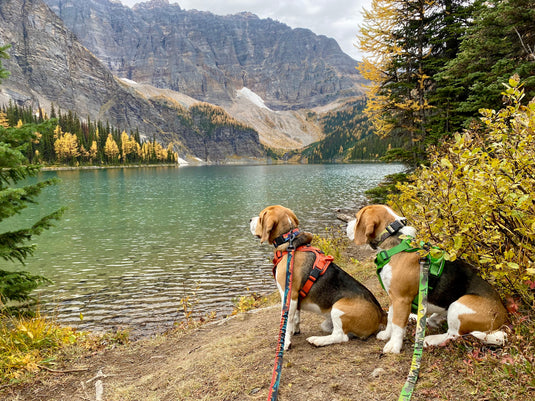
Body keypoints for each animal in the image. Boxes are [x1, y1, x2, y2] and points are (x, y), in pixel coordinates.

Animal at [251, 205, 386, 348]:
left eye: (260, 217)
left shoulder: (288, 294)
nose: (249, 220)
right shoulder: (295, 298)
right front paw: (294, 331)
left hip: (338, 308)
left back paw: (317, 340)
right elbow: (295, 317)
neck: (289, 241)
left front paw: (285, 342)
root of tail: (381, 312)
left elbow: (286, 321)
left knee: (340, 337)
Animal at [346, 205, 508, 352]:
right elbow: (391, 319)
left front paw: (394, 346)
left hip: (458, 305)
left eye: (356, 217)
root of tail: (503, 313)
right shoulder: (393, 297)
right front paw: (386, 335)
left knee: (453, 334)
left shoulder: (401, 299)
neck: (395, 242)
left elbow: (397, 324)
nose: (346, 226)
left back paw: (430, 339)